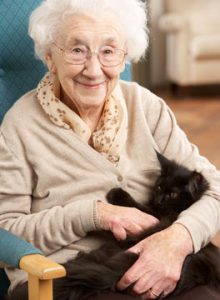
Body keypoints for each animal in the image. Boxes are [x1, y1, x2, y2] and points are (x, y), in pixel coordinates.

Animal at [53, 152, 220, 300]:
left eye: (172, 194)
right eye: (159, 187)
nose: (158, 200)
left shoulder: (155, 216)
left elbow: (137, 207)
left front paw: (116, 193)